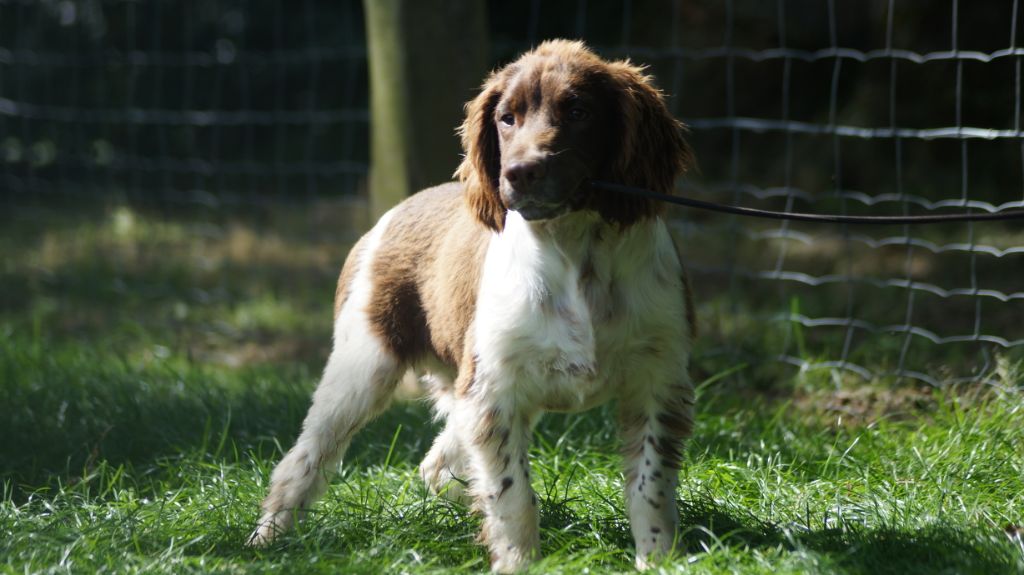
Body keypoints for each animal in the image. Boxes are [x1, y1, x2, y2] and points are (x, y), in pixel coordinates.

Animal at [247, 39, 696, 568]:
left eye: (579, 111)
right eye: (506, 118)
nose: (519, 174)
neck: (574, 250)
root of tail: (398, 208)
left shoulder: (657, 381)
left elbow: (650, 486)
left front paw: (658, 560)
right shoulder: (494, 389)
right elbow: (513, 492)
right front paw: (518, 563)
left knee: (435, 464)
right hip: (365, 364)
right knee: (306, 456)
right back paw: (266, 538)